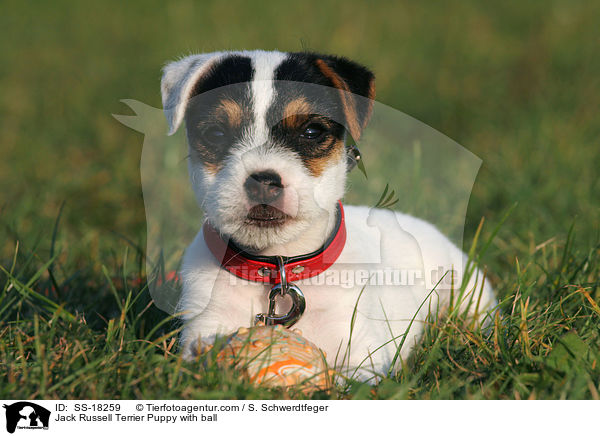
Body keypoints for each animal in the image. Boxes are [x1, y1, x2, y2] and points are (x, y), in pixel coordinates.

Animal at [162, 48, 494, 382]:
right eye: (216, 133)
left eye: (311, 132)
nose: (263, 183)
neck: (279, 266)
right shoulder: (204, 320)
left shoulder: (362, 355)